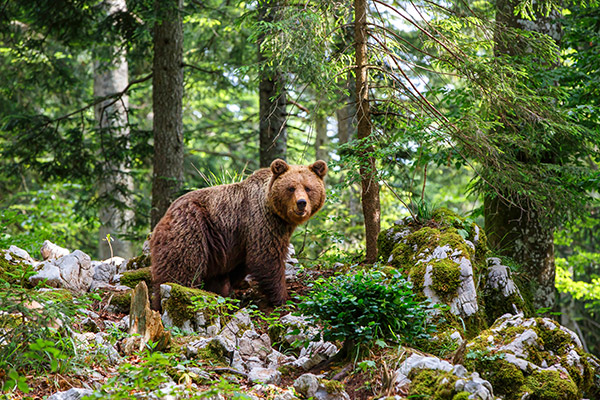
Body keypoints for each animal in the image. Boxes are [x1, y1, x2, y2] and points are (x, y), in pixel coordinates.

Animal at [150, 159, 328, 310]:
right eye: (291, 188)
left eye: (308, 188)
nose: (301, 203)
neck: (277, 214)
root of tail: (165, 216)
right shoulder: (261, 223)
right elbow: (267, 259)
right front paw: (283, 298)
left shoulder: (243, 238)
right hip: (192, 228)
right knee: (181, 268)